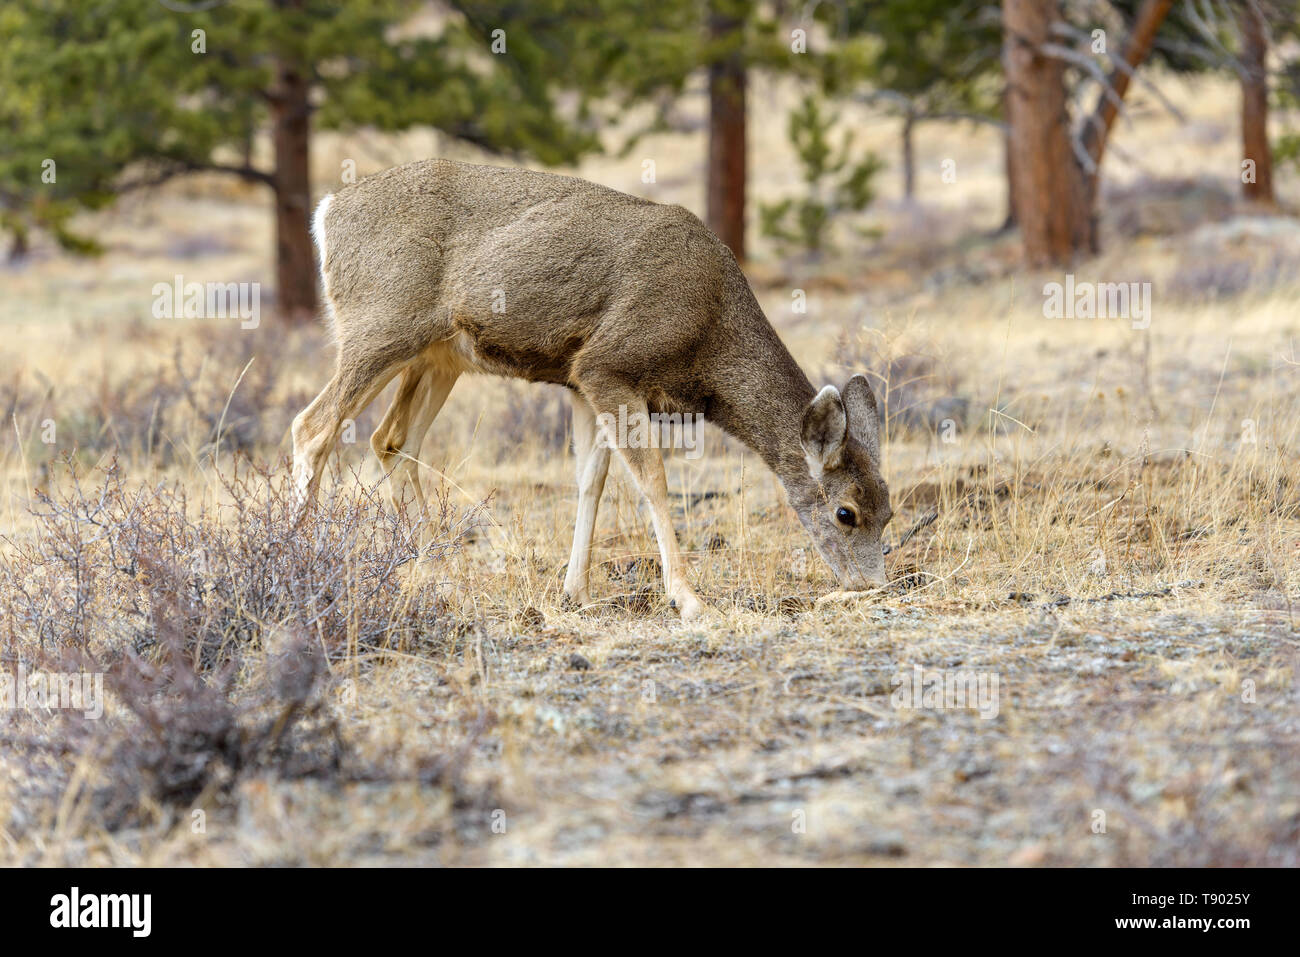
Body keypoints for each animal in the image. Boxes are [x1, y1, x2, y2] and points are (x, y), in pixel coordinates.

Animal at [289, 158, 889, 621]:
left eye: (888, 512)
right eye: (846, 513)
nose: (873, 586)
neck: (708, 334)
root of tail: (328, 211)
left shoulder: (580, 379)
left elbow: (590, 480)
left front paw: (575, 591)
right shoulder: (608, 364)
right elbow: (653, 482)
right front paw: (689, 599)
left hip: (439, 354)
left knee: (393, 440)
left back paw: (437, 572)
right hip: (380, 323)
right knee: (313, 427)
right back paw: (301, 558)